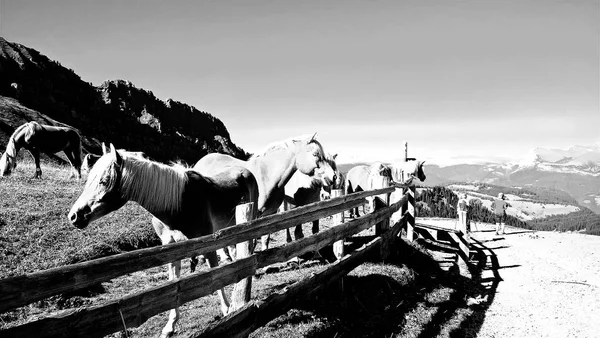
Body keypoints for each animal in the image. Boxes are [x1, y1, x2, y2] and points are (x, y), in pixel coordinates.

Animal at [68, 145, 260, 338]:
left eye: (104, 181)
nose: (74, 216)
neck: (178, 205)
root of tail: (245, 171)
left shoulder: (208, 244)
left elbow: (216, 275)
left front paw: (227, 310)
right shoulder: (171, 248)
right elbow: (174, 283)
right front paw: (170, 326)